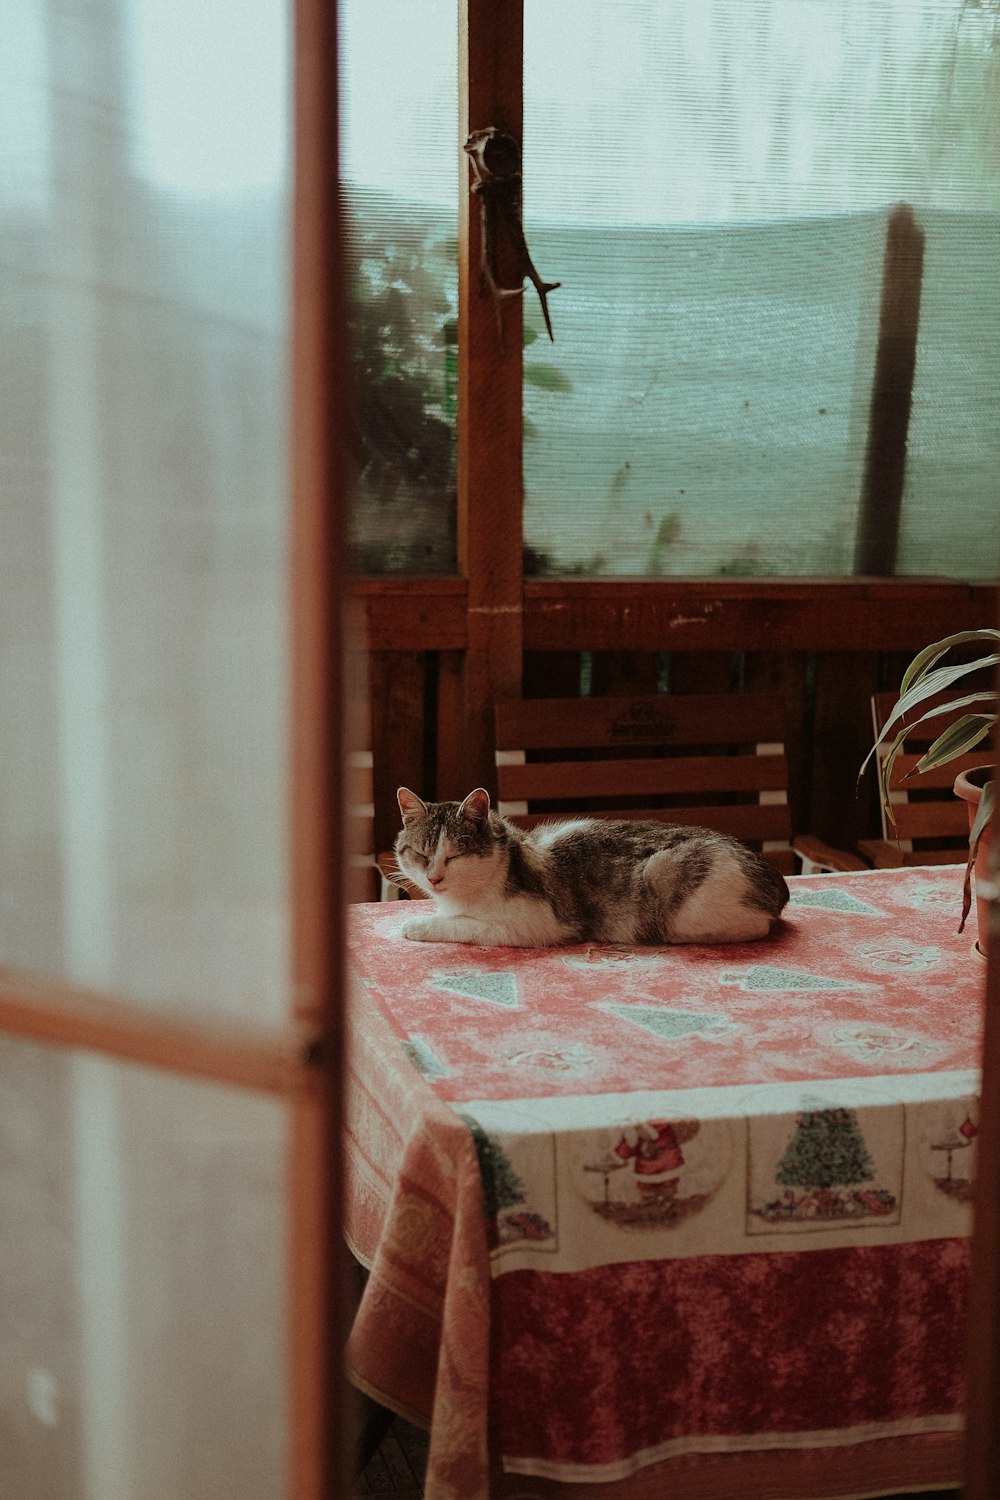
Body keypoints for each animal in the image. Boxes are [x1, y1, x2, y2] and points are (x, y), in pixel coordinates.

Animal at [389, 786, 791, 948]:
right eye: (422, 855)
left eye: (455, 855)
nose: (434, 878)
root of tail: (773, 876)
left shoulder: (534, 925)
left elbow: (462, 925)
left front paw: (415, 924)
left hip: (672, 884)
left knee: (755, 926)